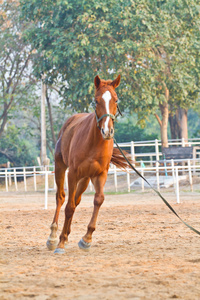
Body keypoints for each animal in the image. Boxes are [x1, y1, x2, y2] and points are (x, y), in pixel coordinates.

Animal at [46, 74, 129, 253]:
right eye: (96, 100)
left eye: (116, 100)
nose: (107, 131)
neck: (94, 143)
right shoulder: (72, 174)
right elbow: (68, 206)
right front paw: (60, 243)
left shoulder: (100, 174)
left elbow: (98, 200)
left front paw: (86, 239)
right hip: (60, 167)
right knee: (61, 198)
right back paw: (54, 237)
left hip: (85, 179)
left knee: (76, 200)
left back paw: (66, 234)